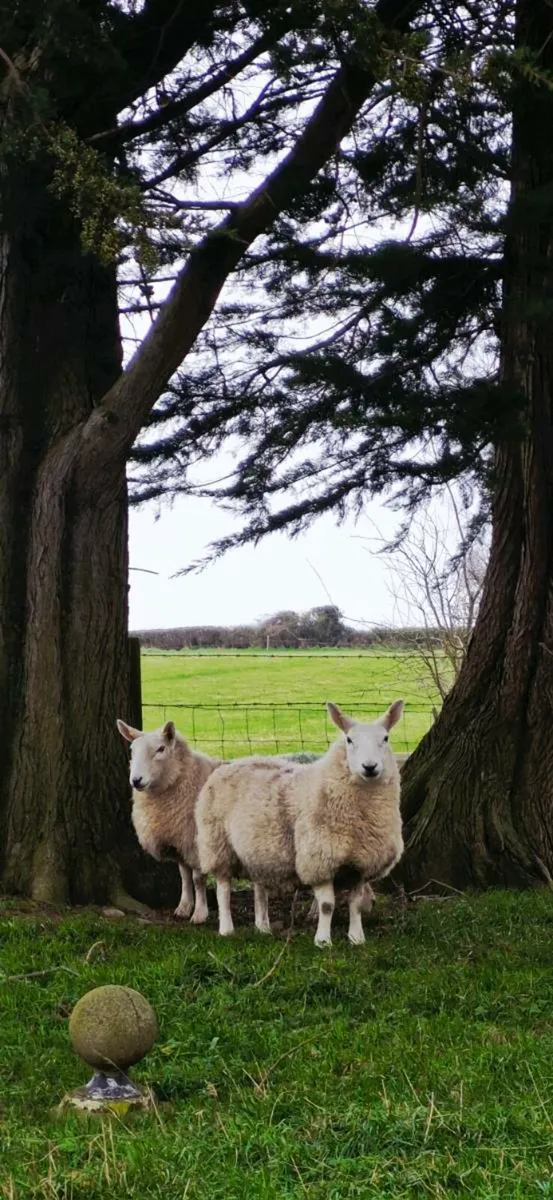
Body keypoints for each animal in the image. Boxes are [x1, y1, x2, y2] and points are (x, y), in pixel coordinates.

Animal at [116, 718, 221, 923]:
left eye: (161, 749)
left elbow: (197, 879)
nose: (136, 780)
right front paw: (183, 908)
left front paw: (199, 914)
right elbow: (184, 876)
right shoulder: (178, 839)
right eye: (132, 750)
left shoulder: (194, 842)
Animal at [196, 699, 404, 947]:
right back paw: (227, 929)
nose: (370, 767)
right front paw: (323, 941)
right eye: (349, 740)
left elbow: (355, 904)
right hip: (217, 843)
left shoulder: (360, 863)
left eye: (386, 738)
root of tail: (233, 763)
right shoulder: (319, 859)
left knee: (259, 887)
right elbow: (327, 905)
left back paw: (263, 926)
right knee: (223, 889)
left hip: (256, 847)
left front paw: (356, 938)